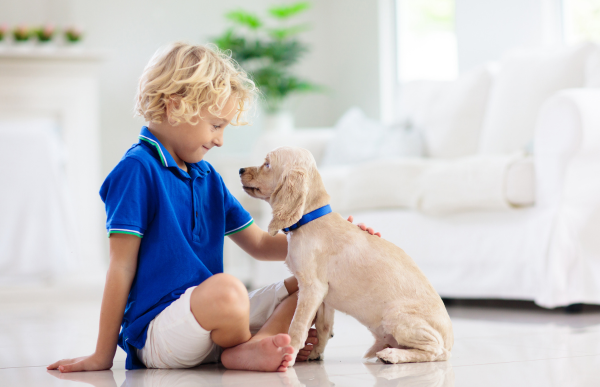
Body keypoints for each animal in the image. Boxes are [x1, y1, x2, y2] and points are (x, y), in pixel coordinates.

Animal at [239, 147, 454, 366]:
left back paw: (392, 355)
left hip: (397, 317)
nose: (240, 170)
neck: (310, 219)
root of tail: (450, 341)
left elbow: (297, 327)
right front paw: (315, 353)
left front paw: (288, 356)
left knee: (436, 351)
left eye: (267, 164)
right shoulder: (324, 295)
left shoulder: (312, 287)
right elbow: (324, 327)